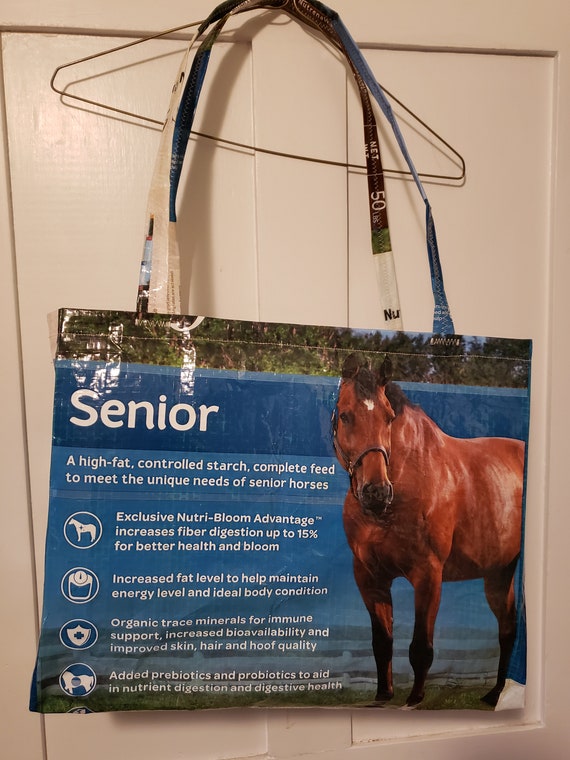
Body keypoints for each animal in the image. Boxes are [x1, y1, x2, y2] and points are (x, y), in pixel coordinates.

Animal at [333, 352, 524, 708]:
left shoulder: (427, 574)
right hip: (498, 572)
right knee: (507, 628)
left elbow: (421, 647)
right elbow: (382, 642)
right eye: (345, 415)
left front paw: (414, 700)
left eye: (389, 418)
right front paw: (383, 695)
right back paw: (494, 694)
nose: (376, 492)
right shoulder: (369, 577)